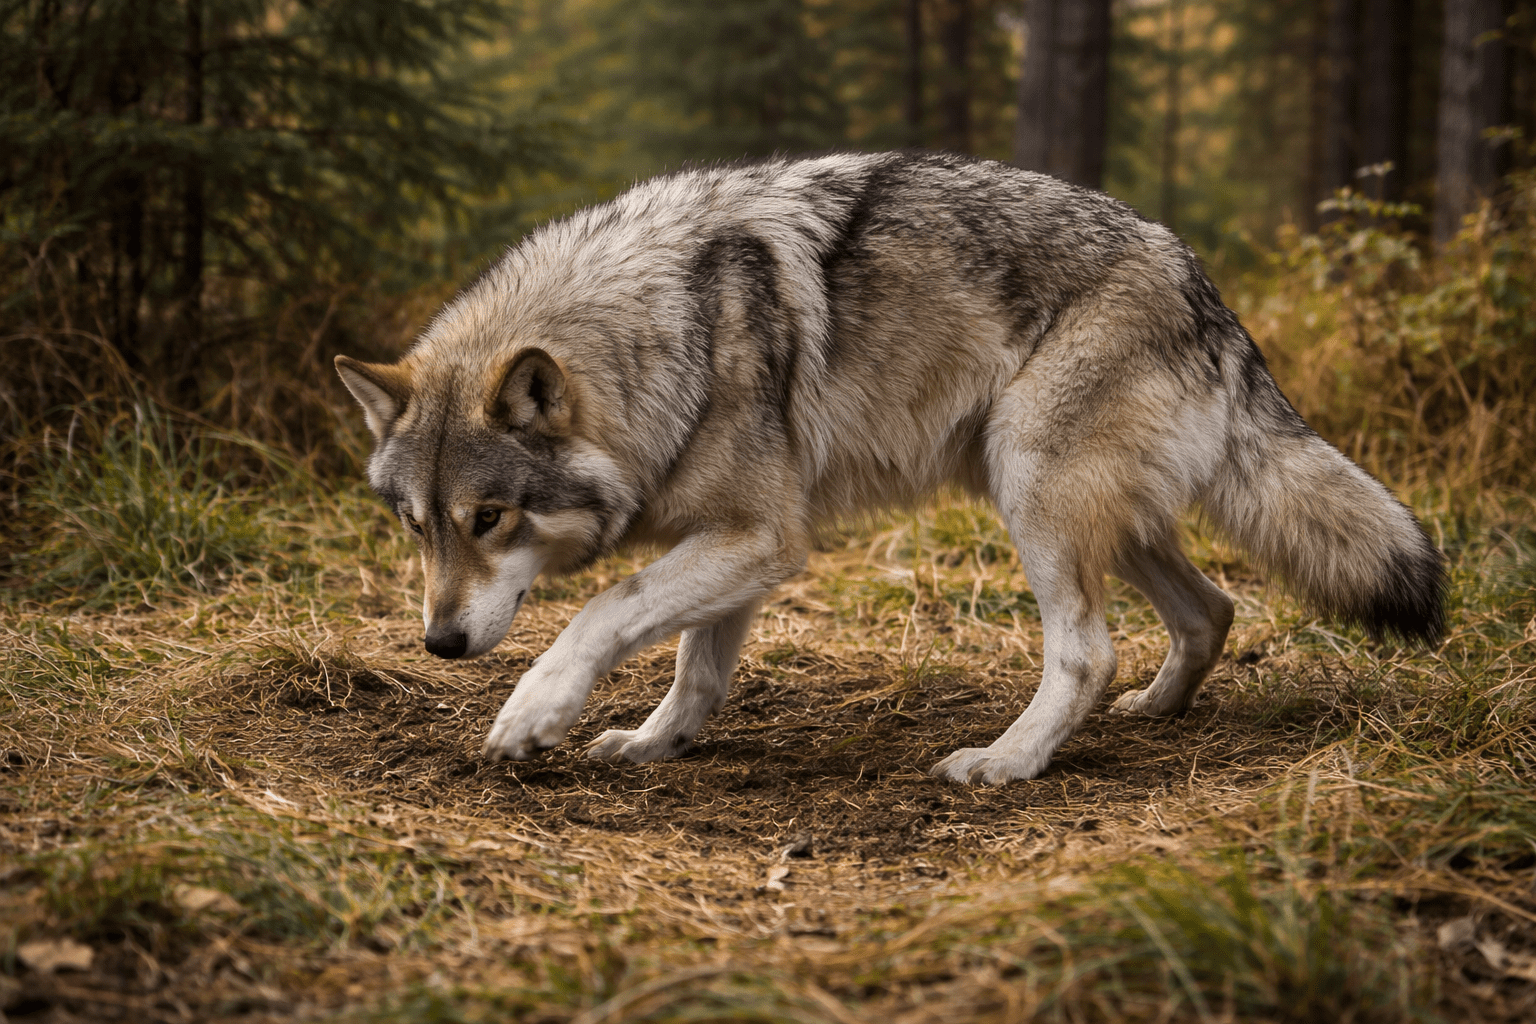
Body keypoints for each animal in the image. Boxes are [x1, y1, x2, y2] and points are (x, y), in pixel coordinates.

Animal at [335, 151, 1443, 785]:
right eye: (416, 526)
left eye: (488, 519)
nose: (438, 643)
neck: (667, 334)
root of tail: (1206, 287)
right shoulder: (735, 545)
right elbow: (696, 667)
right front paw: (656, 746)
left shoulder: (760, 540)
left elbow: (607, 609)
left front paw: (533, 717)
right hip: (1091, 512)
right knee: (1212, 608)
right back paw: (1150, 716)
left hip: (1030, 489)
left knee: (1089, 651)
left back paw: (1007, 762)